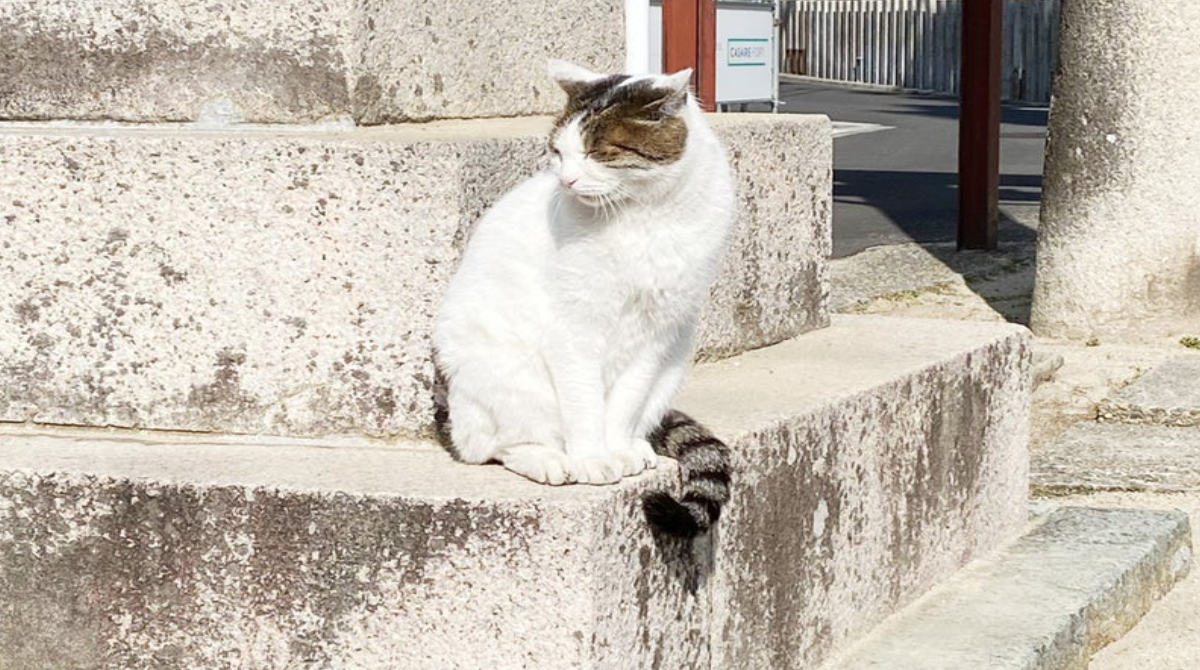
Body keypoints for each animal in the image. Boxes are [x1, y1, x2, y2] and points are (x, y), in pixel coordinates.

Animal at [432, 60, 729, 537]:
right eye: (558, 152)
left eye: (596, 152)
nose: (567, 179)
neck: (644, 215)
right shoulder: (575, 330)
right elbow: (584, 402)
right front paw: (592, 458)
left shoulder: (656, 332)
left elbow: (624, 403)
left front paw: (617, 450)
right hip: (506, 374)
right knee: (491, 446)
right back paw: (549, 460)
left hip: (673, 364)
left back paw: (636, 447)